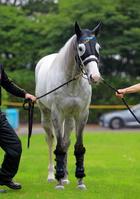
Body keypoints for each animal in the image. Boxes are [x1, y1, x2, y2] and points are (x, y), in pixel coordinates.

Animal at [35, 22, 101, 190]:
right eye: (81, 48)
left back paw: (64, 177)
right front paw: (58, 182)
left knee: (66, 142)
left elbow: (77, 146)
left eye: (98, 47)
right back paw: (52, 176)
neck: (71, 82)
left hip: (69, 118)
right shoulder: (57, 115)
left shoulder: (82, 115)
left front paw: (80, 181)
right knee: (51, 140)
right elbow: (58, 147)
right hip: (46, 115)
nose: (95, 77)